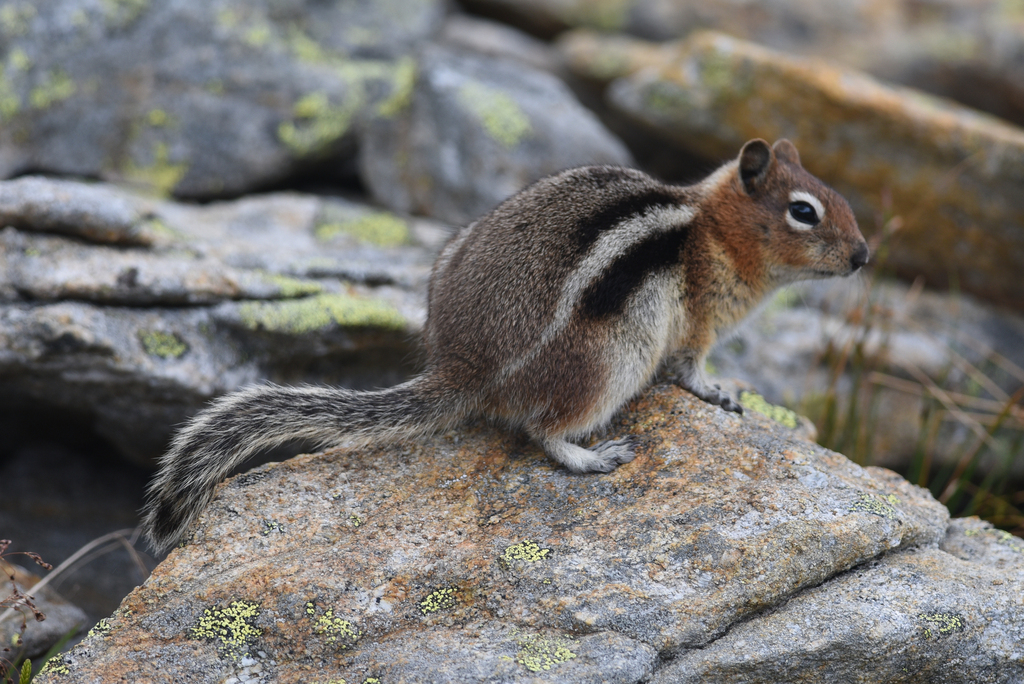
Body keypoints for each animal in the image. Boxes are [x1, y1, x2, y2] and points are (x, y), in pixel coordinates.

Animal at [142, 138, 868, 552]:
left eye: (839, 196)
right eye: (804, 211)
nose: (865, 256)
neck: (712, 226)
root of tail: (465, 365)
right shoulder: (697, 322)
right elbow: (691, 368)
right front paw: (721, 393)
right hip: (610, 361)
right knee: (545, 429)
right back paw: (594, 456)